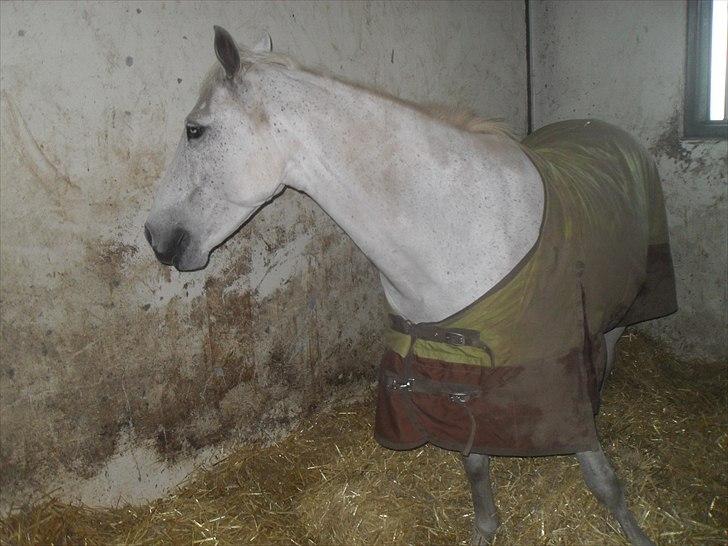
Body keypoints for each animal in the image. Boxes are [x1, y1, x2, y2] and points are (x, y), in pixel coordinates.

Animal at [145, 27, 677, 546]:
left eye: (194, 130)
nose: (154, 235)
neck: (458, 228)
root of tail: (604, 128)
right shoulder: (454, 372)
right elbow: (475, 462)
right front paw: (485, 531)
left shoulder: (554, 365)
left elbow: (599, 477)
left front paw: (635, 533)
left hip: (624, 305)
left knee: (609, 349)